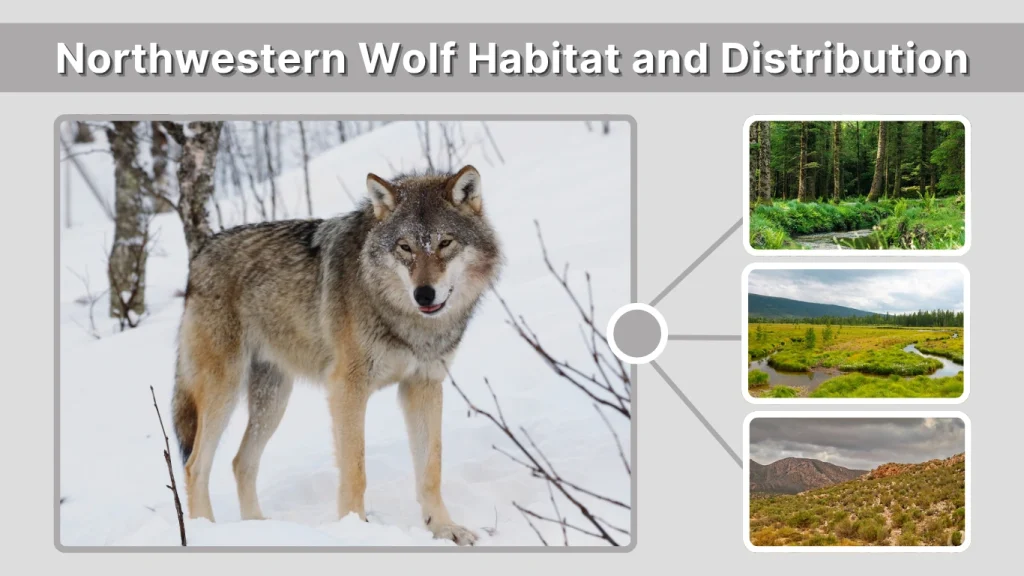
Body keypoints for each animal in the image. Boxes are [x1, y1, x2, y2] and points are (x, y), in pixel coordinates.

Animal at [171, 165, 501, 545]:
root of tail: (200, 254)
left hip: (273, 401)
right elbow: (355, 469)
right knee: (195, 465)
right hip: (223, 392)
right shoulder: (347, 388)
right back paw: (204, 533)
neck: (405, 320)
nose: (424, 294)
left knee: (241, 462)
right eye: (405, 247)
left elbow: (431, 469)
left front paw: (444, 528)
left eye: (445, 243)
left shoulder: (424, 385)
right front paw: (357, 529)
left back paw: (261, 529)